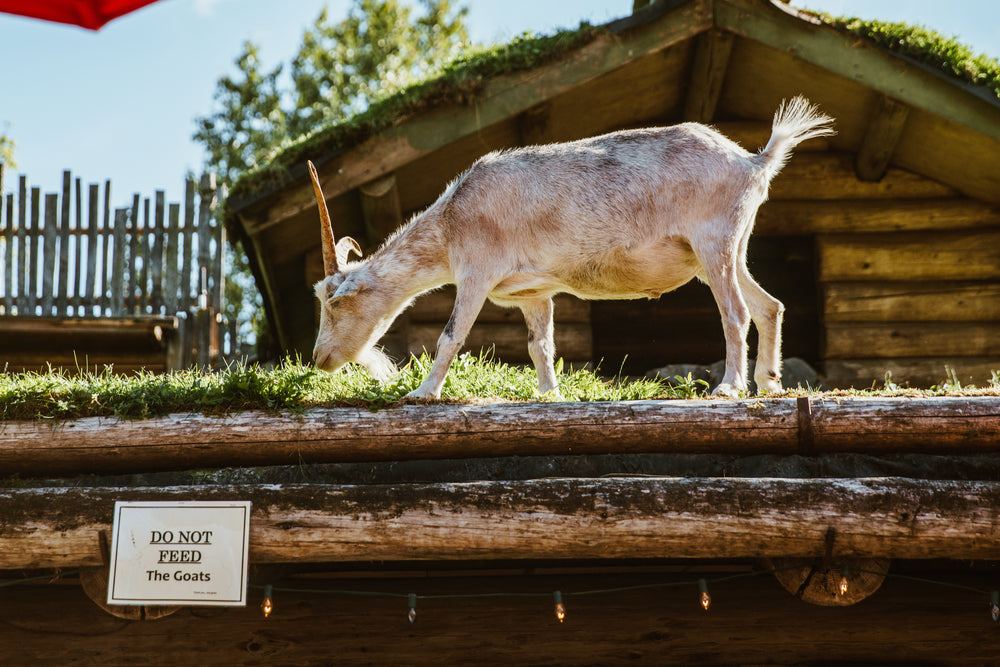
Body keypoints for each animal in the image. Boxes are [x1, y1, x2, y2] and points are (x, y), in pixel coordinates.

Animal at [306, 96, 836, 400]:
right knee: (769, 306)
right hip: (728, 249)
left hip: (714, 241)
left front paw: (422, 394)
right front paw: (548, 395)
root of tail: (753, 161)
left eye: (334, 303)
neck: (453, 217)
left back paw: (729, 388)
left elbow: (450, 335)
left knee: (736, 312)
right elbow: (540, 344)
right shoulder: (533, 293)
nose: (319, 359)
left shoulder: (475, 273)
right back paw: (769, 383)